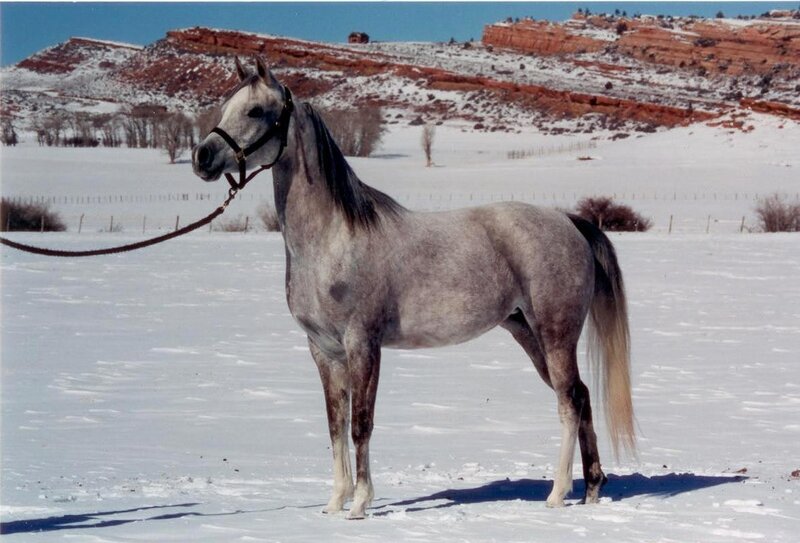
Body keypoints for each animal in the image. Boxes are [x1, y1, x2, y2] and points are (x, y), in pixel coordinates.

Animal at [192, 57, 635, 519]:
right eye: (226, 105)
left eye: (256, 110)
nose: (202, 157)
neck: (332, 238)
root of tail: (568, 222)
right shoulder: (324, 351)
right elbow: (335, 426)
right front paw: (335, 503)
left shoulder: (363, 344)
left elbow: (361, 424)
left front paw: (360, 504)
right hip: (528, 334)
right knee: (582, 396)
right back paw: (592, 488)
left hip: (555, 334)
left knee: (568, 403)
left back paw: (557, 493)